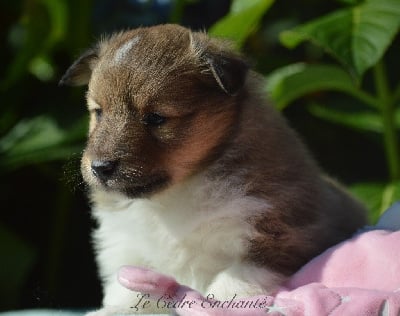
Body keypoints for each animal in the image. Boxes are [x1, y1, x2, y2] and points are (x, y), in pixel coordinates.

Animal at [60, 23, 366, 312]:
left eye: (156, 118)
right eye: (98, 112)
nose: (100, 168)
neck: (178, 193)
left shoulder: (285, 233)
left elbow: (233, 281)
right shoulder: (126, 245)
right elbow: (127, 289)